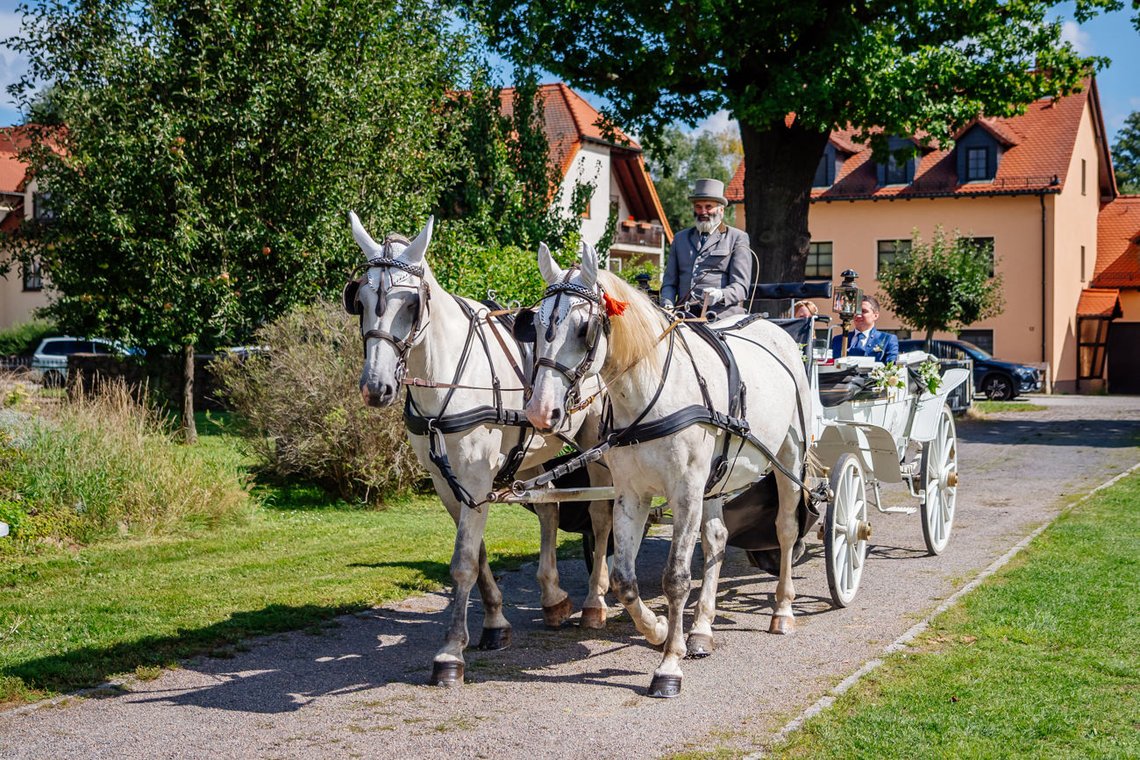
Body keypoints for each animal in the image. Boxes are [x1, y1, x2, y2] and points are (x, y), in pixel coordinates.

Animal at [344, 214, 615, 688]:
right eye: (358, 300)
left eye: (411, 304)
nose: (376, 387)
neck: (451, 374)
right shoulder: (448, 482)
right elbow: (478, 553)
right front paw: (494, 624)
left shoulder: (473, 477)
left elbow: (464, 562)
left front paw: (451, 652)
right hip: (535, 453)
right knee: (550, 510)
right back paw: (553, 597)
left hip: (595, 448)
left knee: (600, 518)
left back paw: (596, 601)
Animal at [522, 247, 816, 697]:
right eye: (534, 326)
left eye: (584, 328)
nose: (540, 412)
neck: (652, 392)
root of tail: (774, 329)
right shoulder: (631, 493)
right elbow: (624, 579)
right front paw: (659, 630)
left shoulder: (686, 492)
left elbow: (676, 578)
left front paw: (668, 665)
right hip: (716, 479)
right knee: (716, 539)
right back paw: (702, 629)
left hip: (788, 456)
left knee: (785, 530)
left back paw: (782, 609)